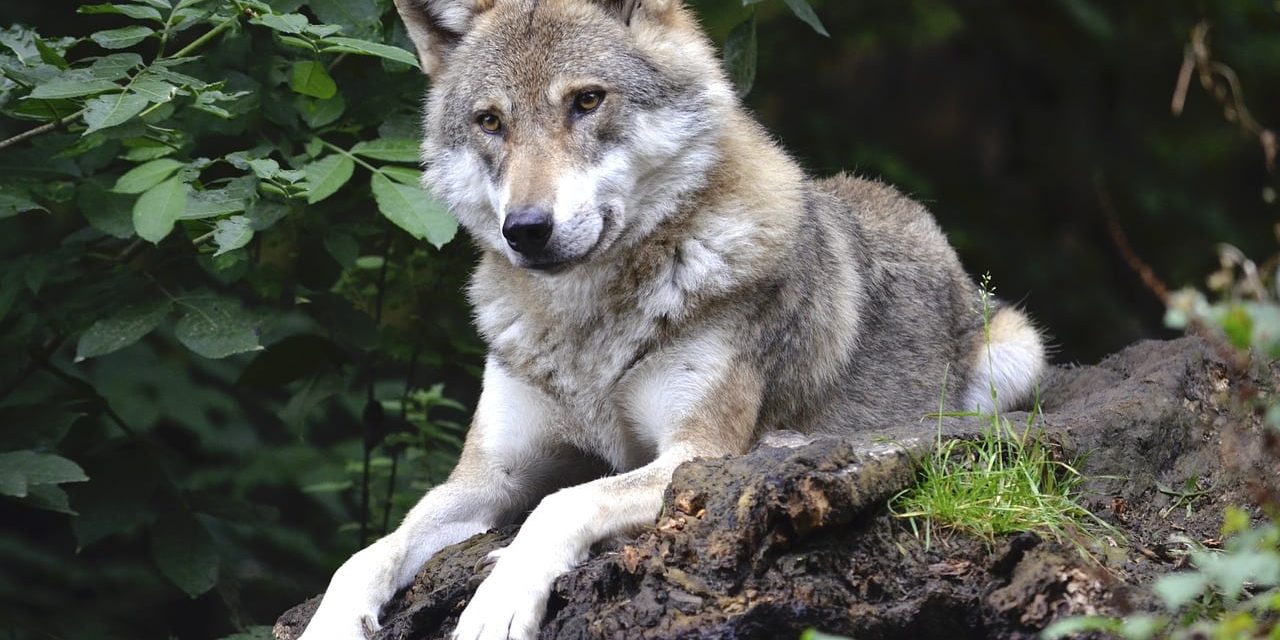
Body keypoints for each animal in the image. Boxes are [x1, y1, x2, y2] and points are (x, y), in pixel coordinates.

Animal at [297, 0, 1047, 638]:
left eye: (587, 101)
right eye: (490, 122)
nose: (526, 229)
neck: (586, 327)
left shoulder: (695, 455)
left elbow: (563, 502)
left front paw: (500, 597)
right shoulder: (488, 478)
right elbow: (372, 548)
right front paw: (333, 621)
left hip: (1015, 355)